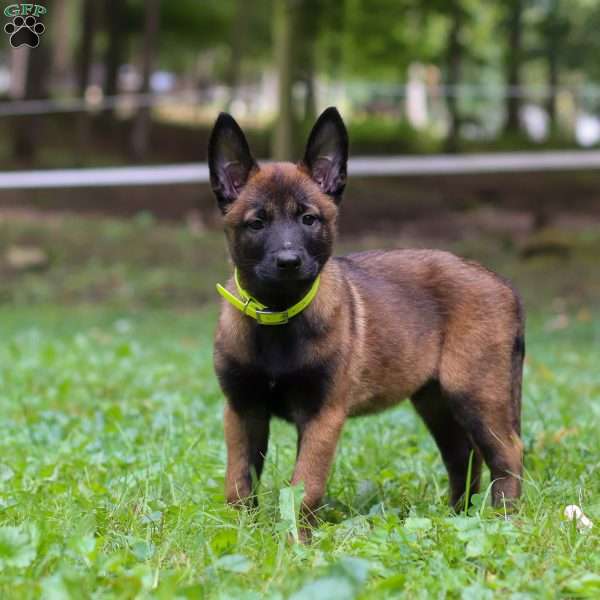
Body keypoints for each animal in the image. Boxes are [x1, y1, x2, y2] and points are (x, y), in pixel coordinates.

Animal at [210, 108, 524, 536]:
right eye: (256, 224)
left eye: (309, 219)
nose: (289, 262)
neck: (278, 317)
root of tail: (504, 284)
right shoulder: (243, 410)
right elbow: (239, 485)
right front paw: (241, 534)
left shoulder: (323, 414)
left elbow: (304, 486)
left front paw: (296, 541)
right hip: (434, 399)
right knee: (464, 456)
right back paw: (457, 516)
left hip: (476, 391)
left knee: (507, 451)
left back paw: (506, 520)